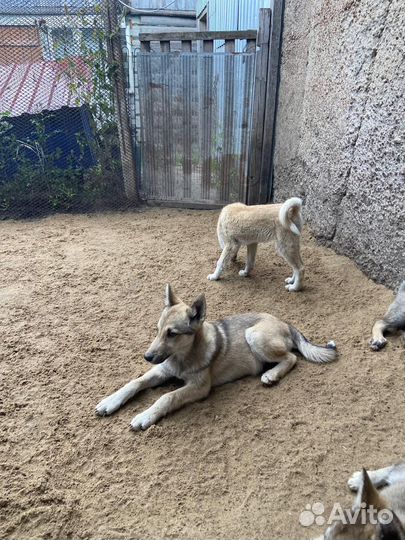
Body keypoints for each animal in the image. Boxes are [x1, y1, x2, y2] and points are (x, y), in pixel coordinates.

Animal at [94, 282, 334, 430]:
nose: (147, 356)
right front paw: (110, 401)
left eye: (172, 334)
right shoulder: (162, 370)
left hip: (254, 335)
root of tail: (284, 322)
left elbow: (167, 397)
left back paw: (272, 375)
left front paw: (145, 416)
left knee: (291, 358)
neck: (183, 357)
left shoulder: (199, 387)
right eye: (158, 329)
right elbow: (135, 382)